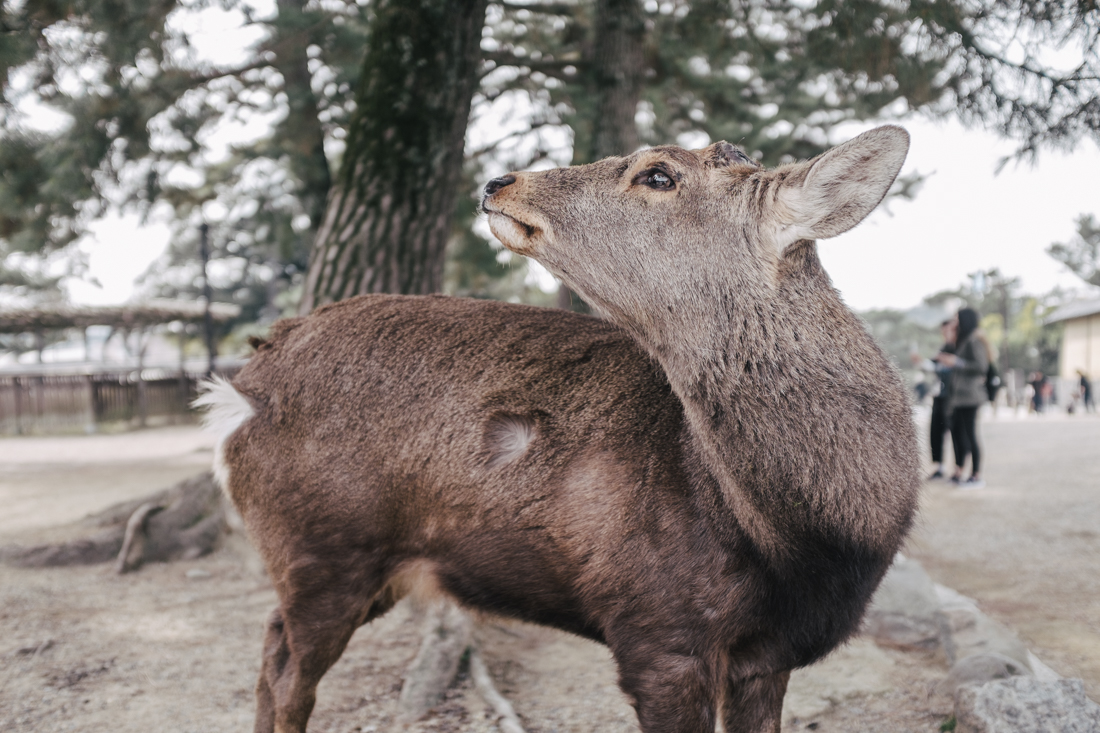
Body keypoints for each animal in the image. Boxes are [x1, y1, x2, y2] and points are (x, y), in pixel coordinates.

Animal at [198, 125, 919, 730]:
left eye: (659, 174)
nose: (498, 181)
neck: (812, 544)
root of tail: (241, 387)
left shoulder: (768, 655)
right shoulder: (657, 628)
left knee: (270, 649)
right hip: (323, 545)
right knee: (288, 673)